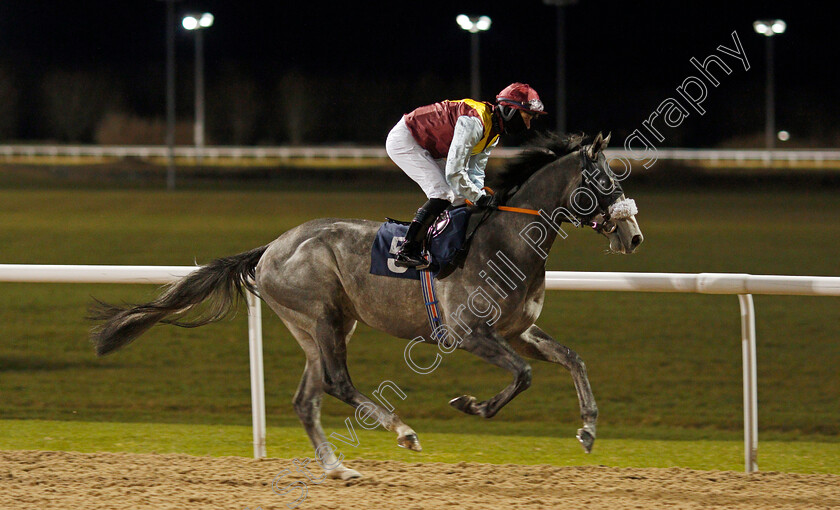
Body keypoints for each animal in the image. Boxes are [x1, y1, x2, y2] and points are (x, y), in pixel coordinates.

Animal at [90, 130, 644, 478]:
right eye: (605, 181)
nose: (633, 235)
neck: (506, 239)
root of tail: (269, 249)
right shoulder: (468, 333)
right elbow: (523, 377)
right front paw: (471, 404)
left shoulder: (517, 332)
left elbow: (573, 359)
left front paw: (588, 429)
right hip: (322, 315)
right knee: (337, 382)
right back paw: (402, 431)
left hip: (316, 326)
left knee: (307, 397)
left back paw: (338, 468)